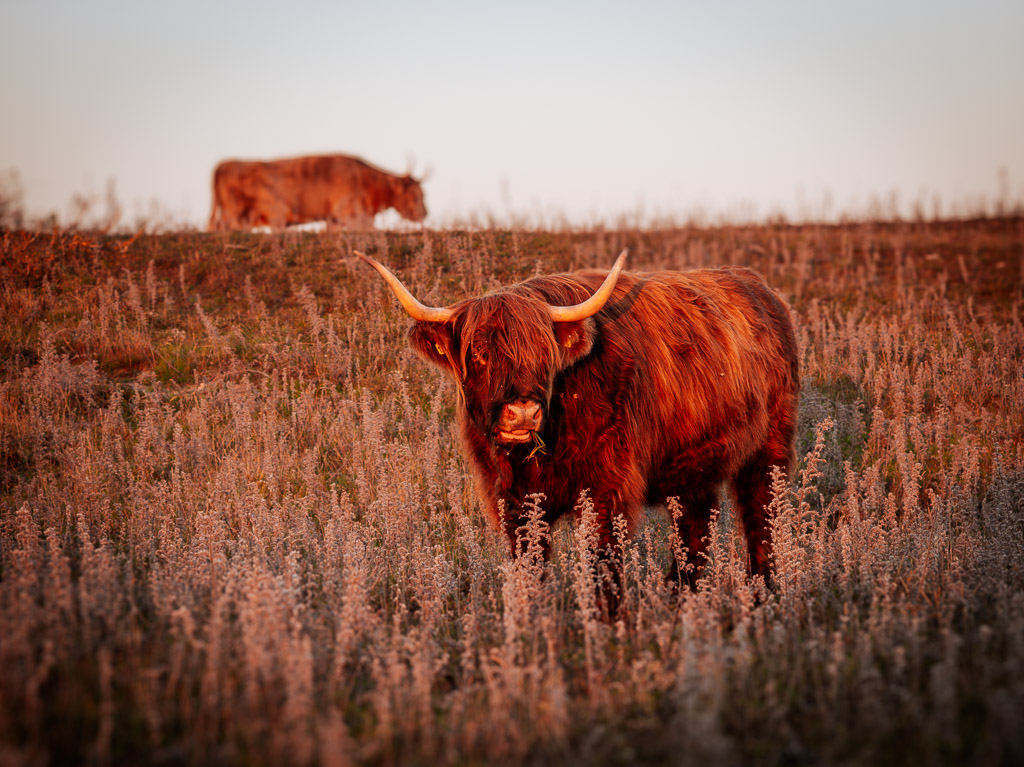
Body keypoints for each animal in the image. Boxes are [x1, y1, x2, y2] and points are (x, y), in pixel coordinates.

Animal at [207, 153, 423, 230]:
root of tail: (224, 164)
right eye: (415, 195)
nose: (424, 213)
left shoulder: (334, 218)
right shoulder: (350, 214)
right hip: (235, 213)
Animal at [364, 250, 802, 610]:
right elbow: (529, 566)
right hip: (695, 463)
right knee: (696, 526)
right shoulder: (511, 500)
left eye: (544, 354)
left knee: (761, 517)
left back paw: (762, 595)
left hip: (769, 450)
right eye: (479, 354)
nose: (522, 414)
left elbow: (602, 566)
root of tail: (761, 288)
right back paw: (680, 597)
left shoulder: (605, 490)